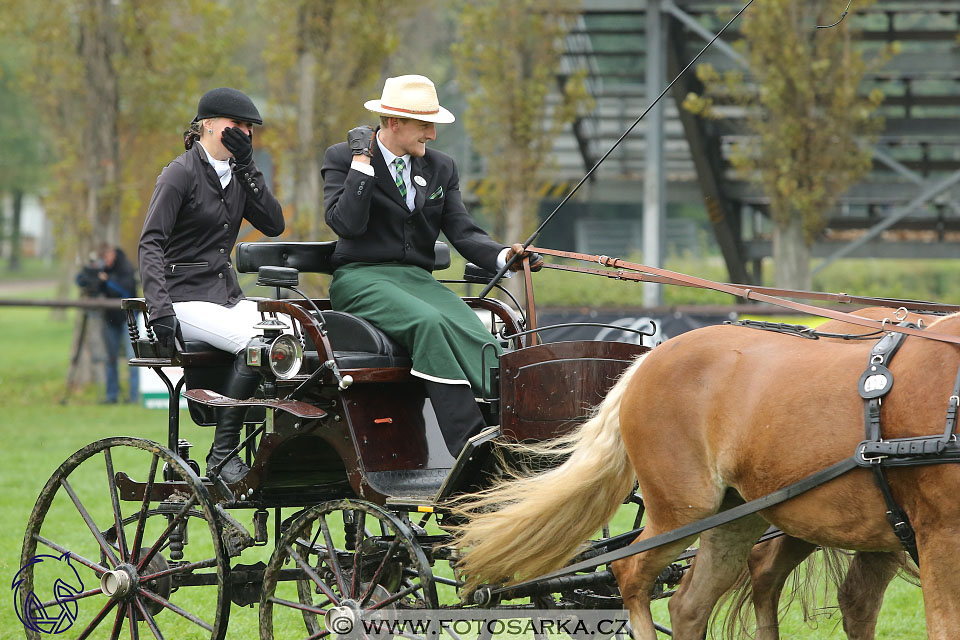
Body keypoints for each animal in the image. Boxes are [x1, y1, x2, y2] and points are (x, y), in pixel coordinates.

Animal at [458, 312, 960, 636]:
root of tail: (649, 359)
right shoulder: (939, 534)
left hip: (740, 515)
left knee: (691, 604)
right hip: (683, 510)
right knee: (630, 573)